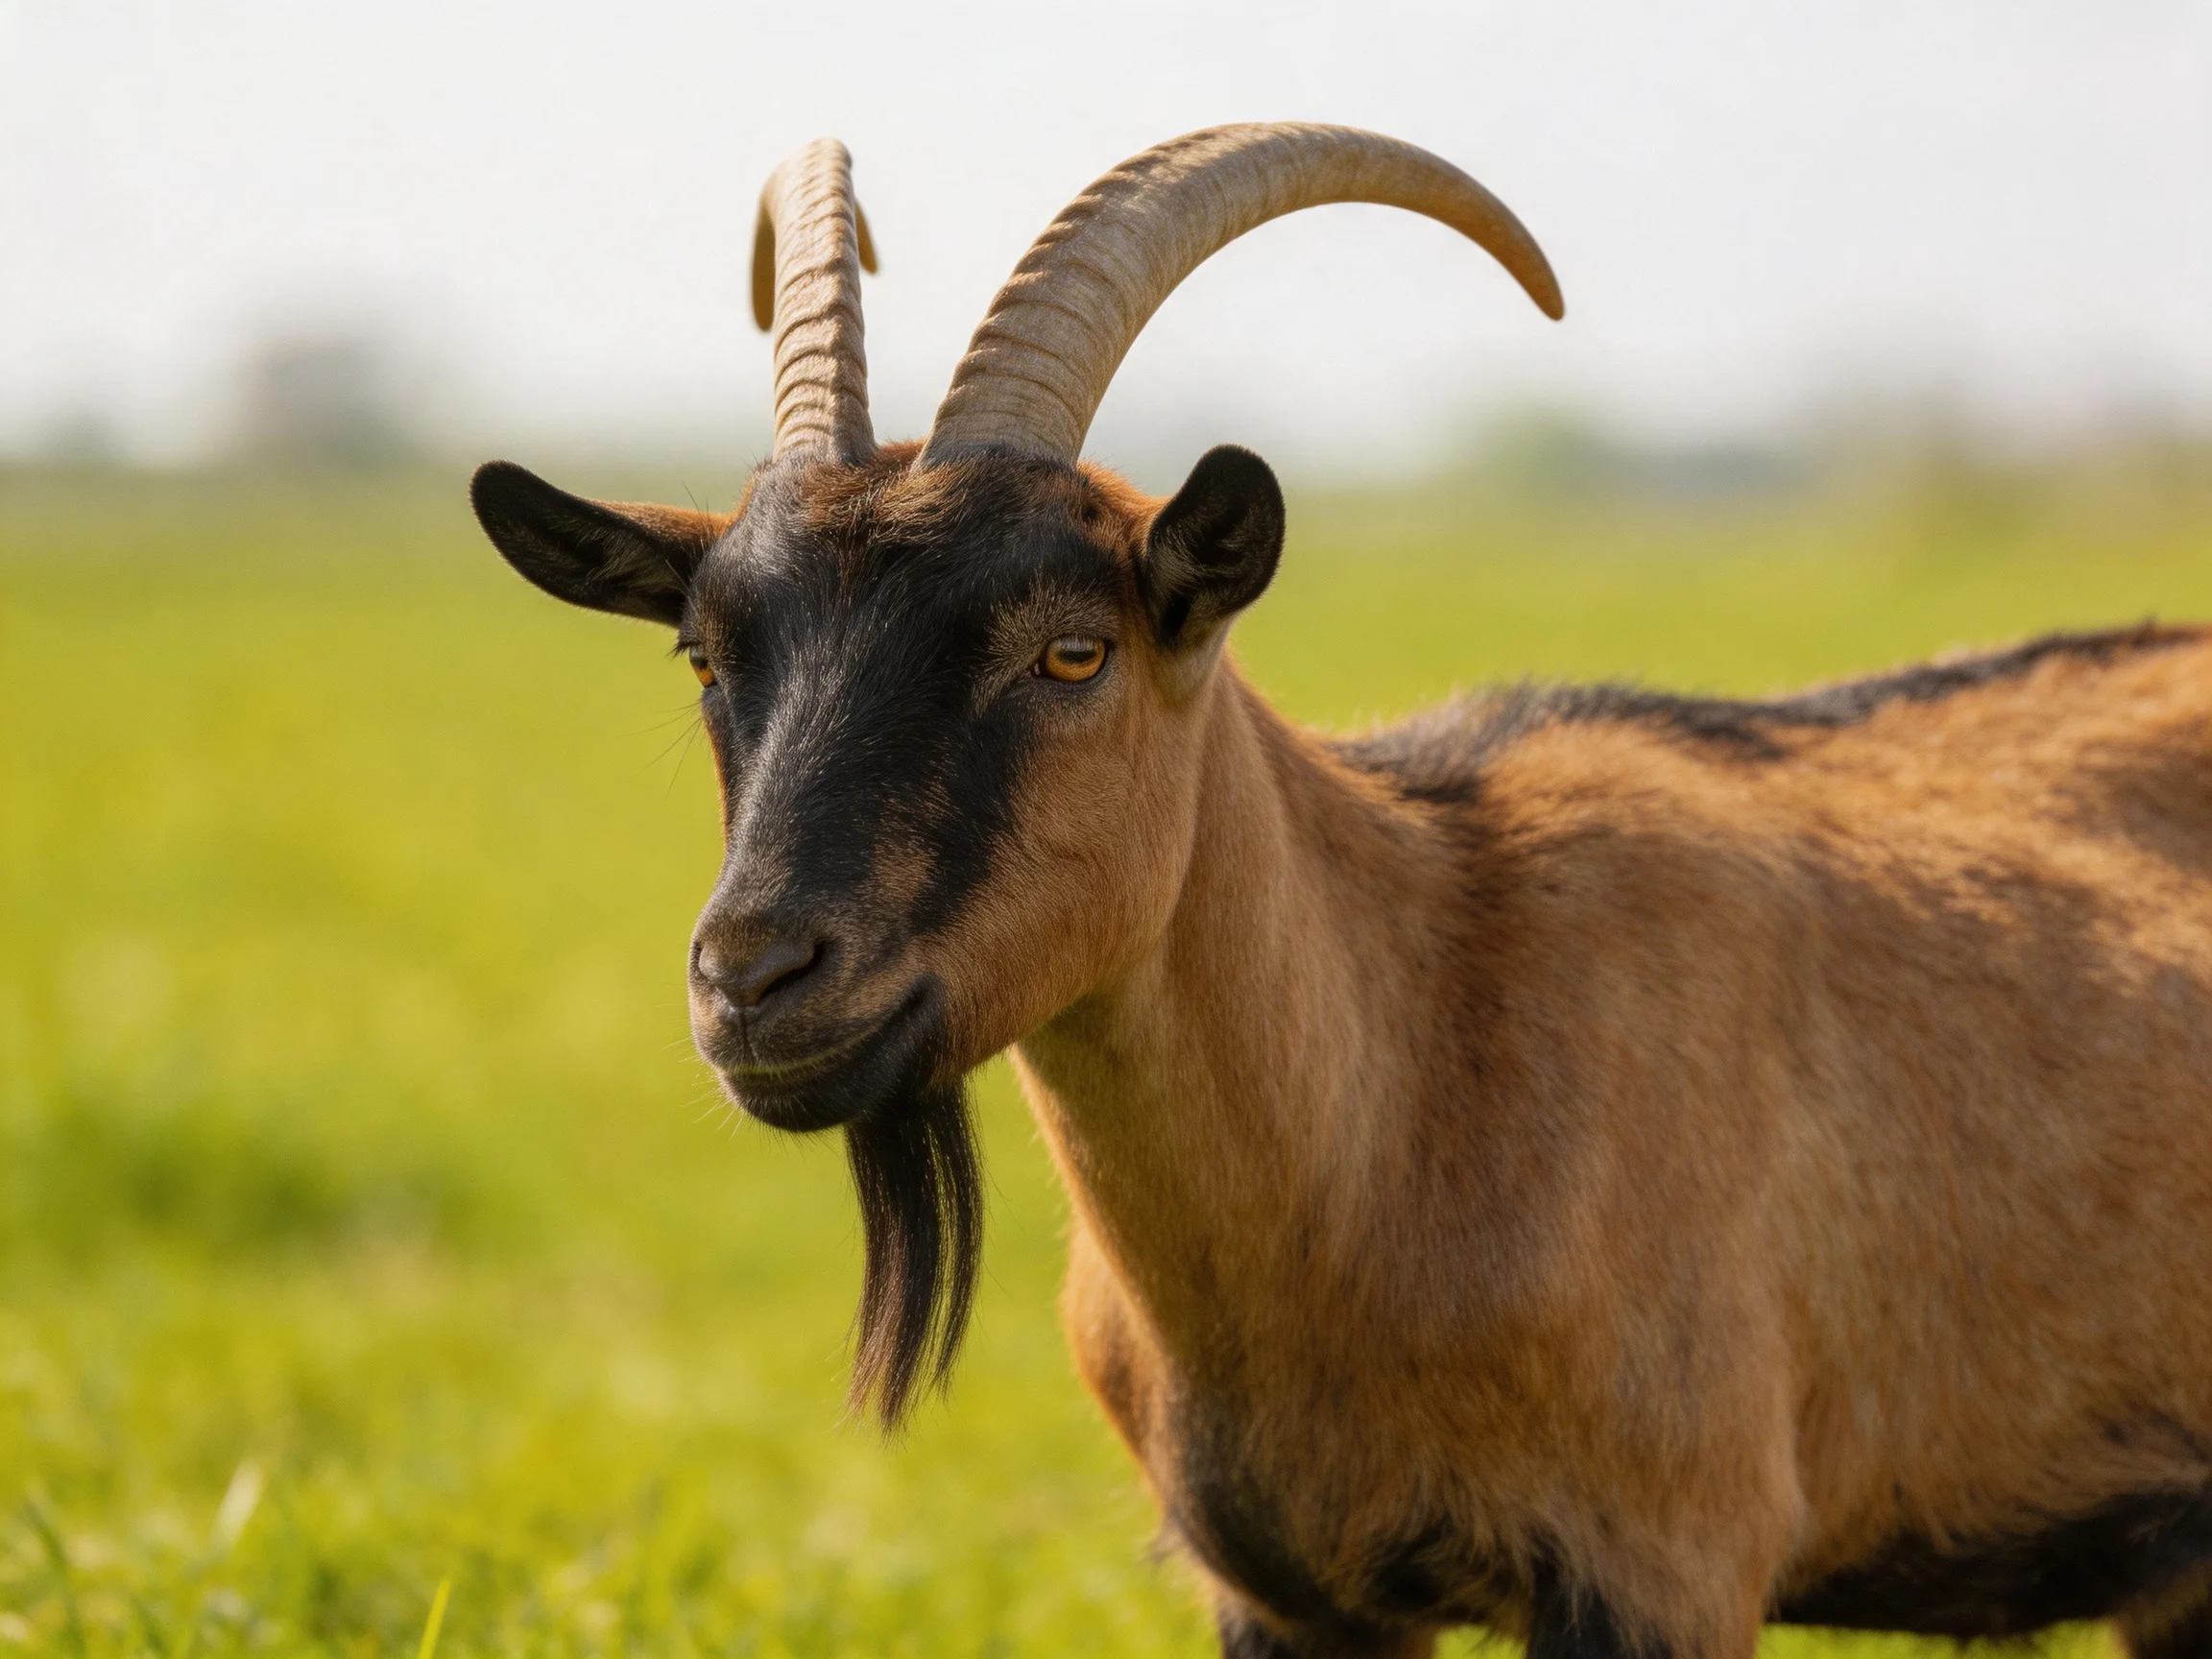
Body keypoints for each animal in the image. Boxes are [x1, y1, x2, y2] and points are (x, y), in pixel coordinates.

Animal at [470, 127, 2212, 1659]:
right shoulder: (1286, 1589)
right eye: (709, 655)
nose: (759, 978)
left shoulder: (1667, 1552)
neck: (1407, 1073)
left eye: (1073, 650)